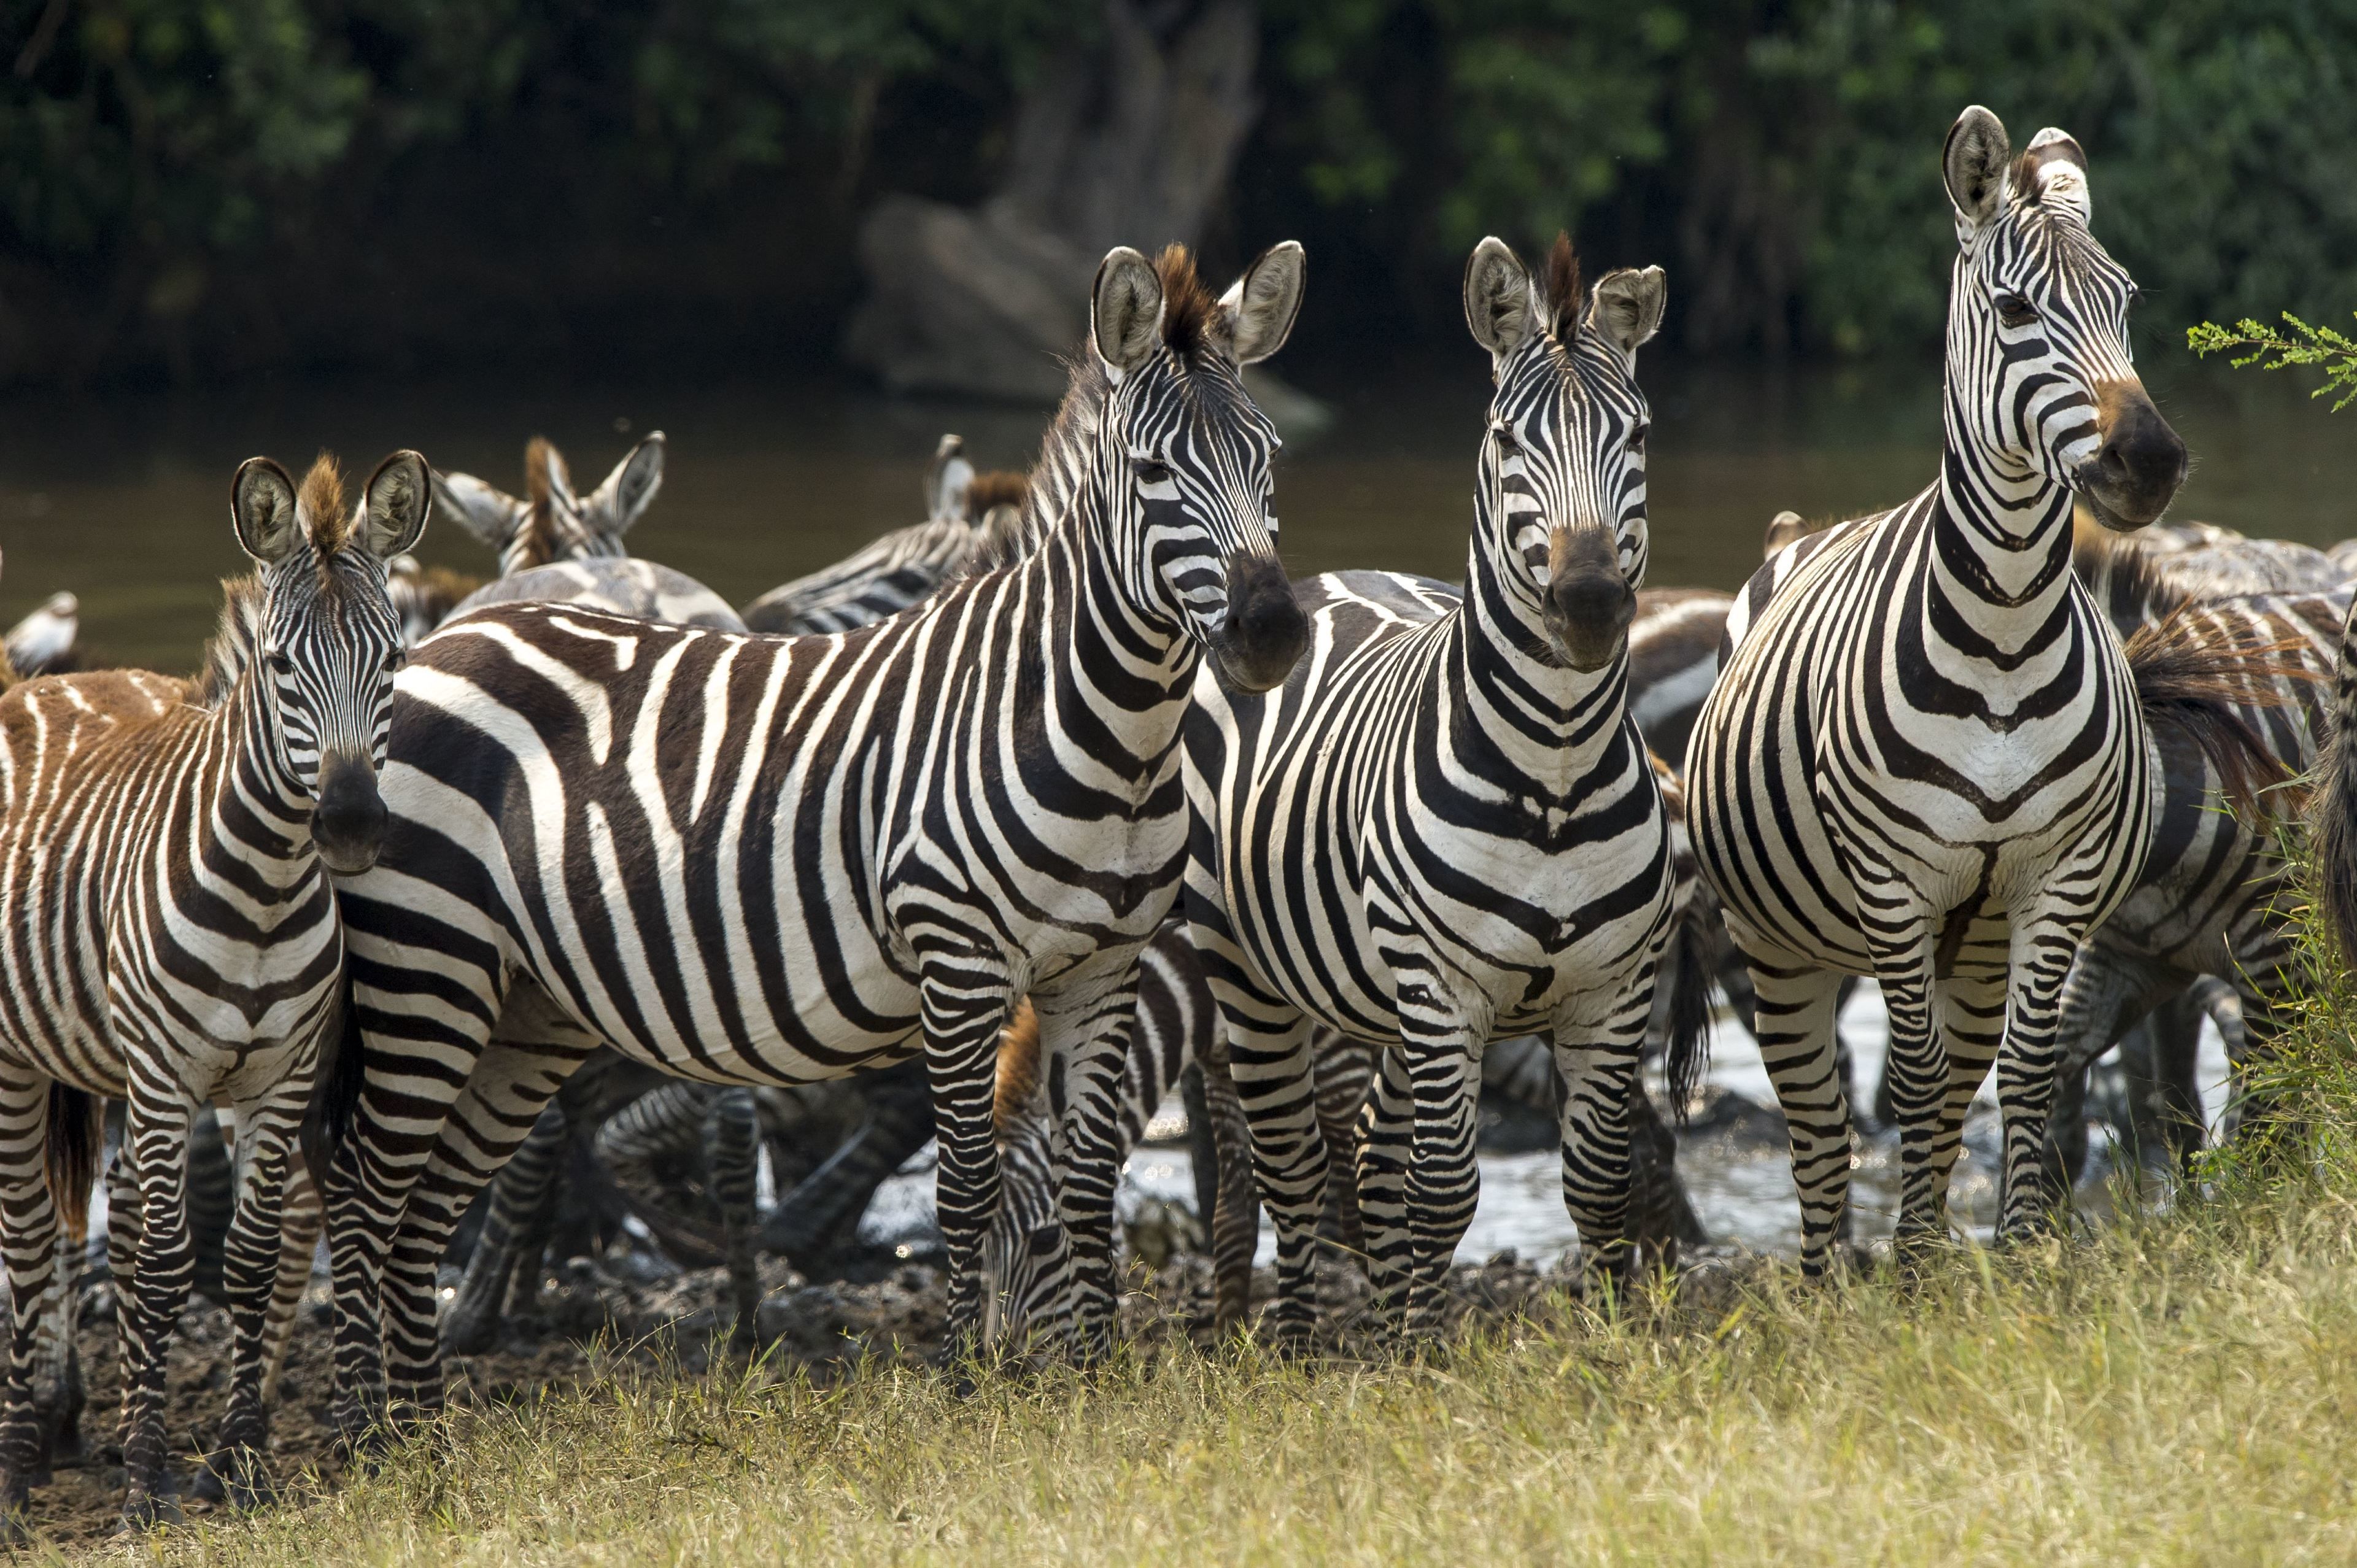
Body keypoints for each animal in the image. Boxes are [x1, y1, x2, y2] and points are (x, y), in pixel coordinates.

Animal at [0, 451, 424, 1527]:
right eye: (280, 667)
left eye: (394, 661)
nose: (351, 826)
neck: (268, 888)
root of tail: (61, 676)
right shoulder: (166, 1077)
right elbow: (160, 1264)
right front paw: (147, 1484)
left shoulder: (275, 1078)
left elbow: (250, 1259)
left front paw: (236, 1459)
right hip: (20, 1057)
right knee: (26, 1239)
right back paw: (19, 1463)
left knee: (96, 1223)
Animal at [1182, 234, 1696, 1344]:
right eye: (1507, 438)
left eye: (1636, 435)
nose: (1590, 602)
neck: (1555, 771)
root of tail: (1336, 577)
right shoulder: (1442, 985)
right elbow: (1446, 1188)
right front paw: (1427, 1352)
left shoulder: (1614, 987)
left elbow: (1598, 1181)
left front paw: (1608, 1343)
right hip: (1248, 973)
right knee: (1291, 1167)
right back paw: (1304, 1347)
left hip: (1379, 1002)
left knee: (1374, 1150)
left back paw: (1377, 1334)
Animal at [1684, 106, 2194, 1271]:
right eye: (2014, 311)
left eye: (2127, 301)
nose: (2149, 460)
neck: (2003, 637)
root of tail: (1799, 530)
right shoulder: (1892, 880)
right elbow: (1910, 1081)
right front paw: (1916, 1269)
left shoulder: (2053, 878)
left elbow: (2025, 1070)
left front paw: (2019, 1252)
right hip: (1782, 945)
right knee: (1819, 1114)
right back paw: (1832, 1271)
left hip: (1978, 933)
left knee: (1954, 1074)